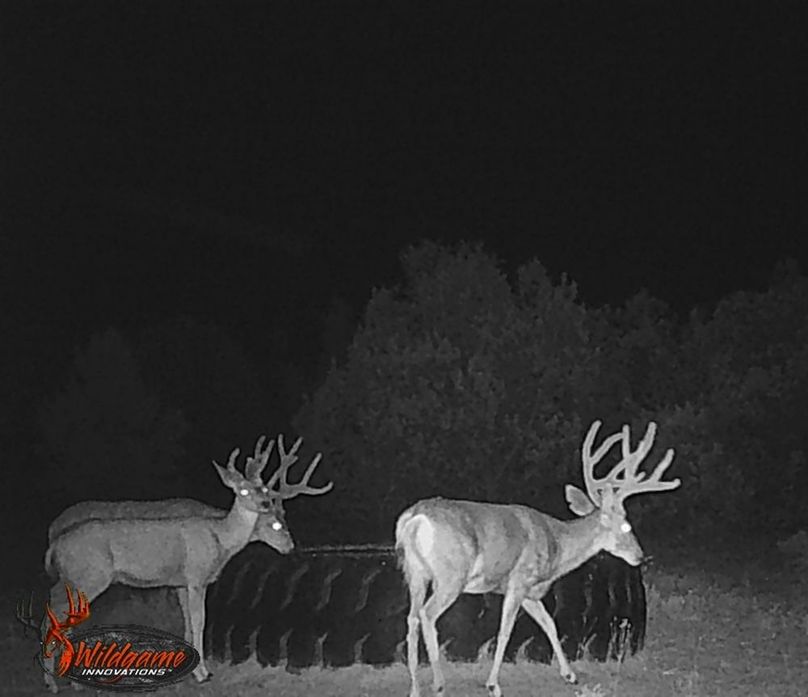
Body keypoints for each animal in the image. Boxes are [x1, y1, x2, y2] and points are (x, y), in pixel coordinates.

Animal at [40, 433, 332, 693]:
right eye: (243, 489)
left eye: (262, 489)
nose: (290, 547)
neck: (220, 539)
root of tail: (54, 544)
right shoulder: (195, 576)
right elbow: (199, 620)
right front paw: (202, 673)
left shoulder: (180, 581)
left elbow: (189, 622)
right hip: (88, 575)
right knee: (57, 612)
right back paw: (57, 681)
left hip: (73, 578)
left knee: (54, 607)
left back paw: (62, 678)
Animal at [395, 419, 681, 697]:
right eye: (626, 525)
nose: (640, 556)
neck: (556, 546)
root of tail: (414, 518)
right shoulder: (519, 580)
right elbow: (505, 630)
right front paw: (493, 685)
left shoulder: (531, 592)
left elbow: (549, 623)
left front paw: (570, 675)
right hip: (451, 575)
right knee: (427, 614)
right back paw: (439, 684)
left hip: (415, 572)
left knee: (411, 617)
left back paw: (414, 688)